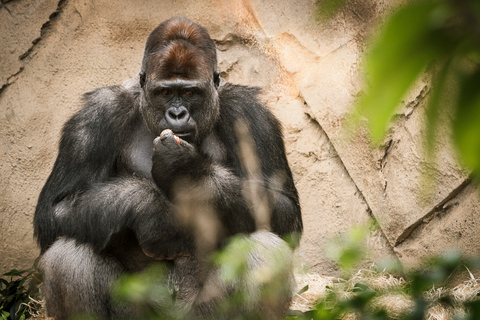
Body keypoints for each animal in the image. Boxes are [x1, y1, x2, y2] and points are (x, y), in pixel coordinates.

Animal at [35, 17, 302, 320]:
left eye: (189, 92)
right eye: (164, 92)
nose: (177, 114)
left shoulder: (250, 113)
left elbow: (284, 209)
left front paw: (187, 170)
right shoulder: (96, 115)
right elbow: (55, 209)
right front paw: (149, 208)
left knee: (263, 250)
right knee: (70, 253)